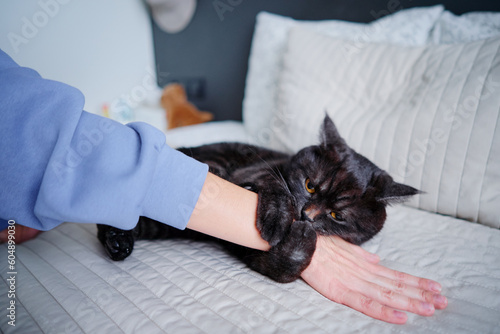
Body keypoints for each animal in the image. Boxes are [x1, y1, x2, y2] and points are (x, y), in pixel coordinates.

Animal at [97, 116, 418, 284]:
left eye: (338, 215)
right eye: (310, 186)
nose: (307, 215)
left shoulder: (247, 248)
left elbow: (282, 268)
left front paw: (301, 241)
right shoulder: (260, 171)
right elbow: (276, 187)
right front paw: (277, 220)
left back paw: (118, 243)